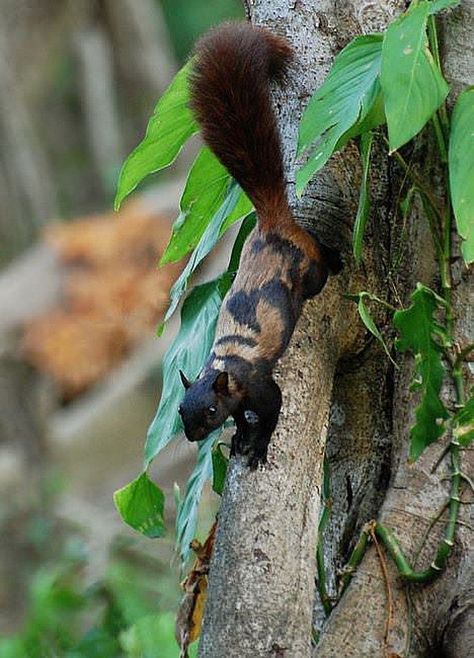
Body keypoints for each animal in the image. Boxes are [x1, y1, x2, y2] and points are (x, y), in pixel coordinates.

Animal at [179, 21, 340, 466]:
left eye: (209, 410)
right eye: (180, 411)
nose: (192, 436)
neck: (224, 366)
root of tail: (271, 223)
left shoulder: (260, 386)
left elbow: (271, 412)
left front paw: (259, 444)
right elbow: (242, 419)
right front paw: (239, 436)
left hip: (310, 270)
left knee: (319, 263)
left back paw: (335, 259)